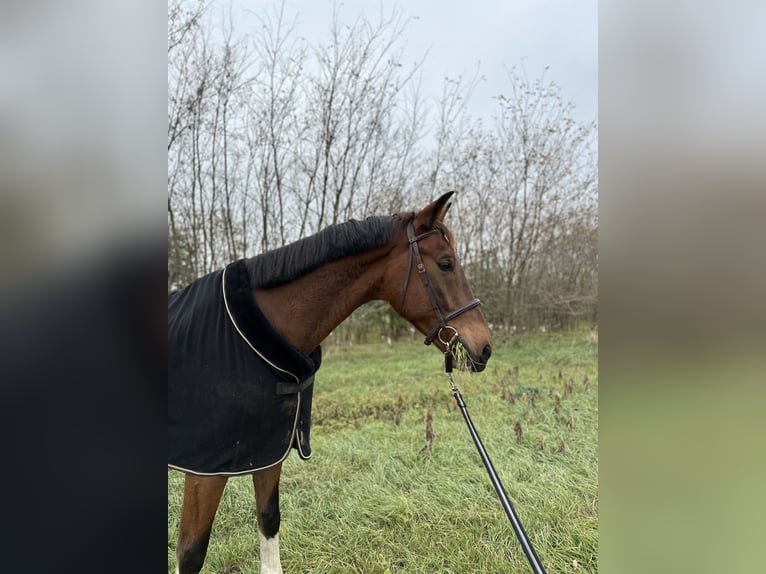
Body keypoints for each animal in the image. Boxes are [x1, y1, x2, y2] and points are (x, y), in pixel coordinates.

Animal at [168, 192, 492, 574]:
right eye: (445, 264)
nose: (485, 347)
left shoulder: (269, 449)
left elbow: (269, 519)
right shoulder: (205, 471)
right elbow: (191, 553)